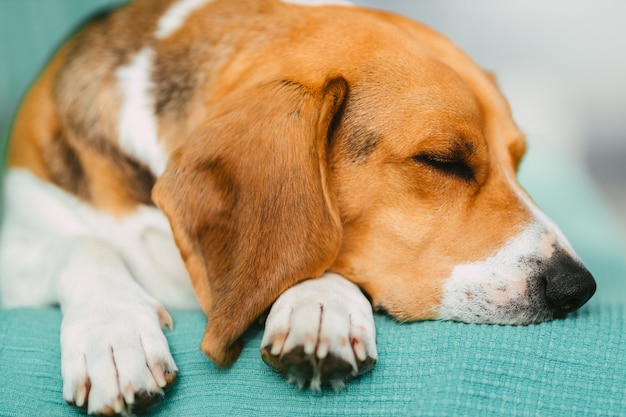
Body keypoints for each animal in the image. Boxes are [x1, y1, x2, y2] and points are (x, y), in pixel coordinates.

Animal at [0, 0, 596, 412]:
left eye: (518, 162)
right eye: (442, 160)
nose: (579, 287)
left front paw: (321, 303)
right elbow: (83, 244)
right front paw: (113, 331)